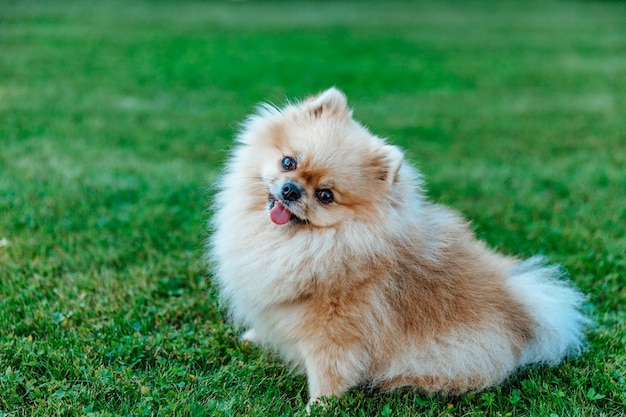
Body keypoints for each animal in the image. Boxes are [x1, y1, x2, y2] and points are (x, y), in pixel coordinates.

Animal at [208, 87, 584, 406]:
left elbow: (328, 373)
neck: (309, 243)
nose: (289, 190)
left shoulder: (335, 331)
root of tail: (521, 307)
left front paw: (317, 407)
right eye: (289, 162)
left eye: (326, 195)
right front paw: (255, 337)